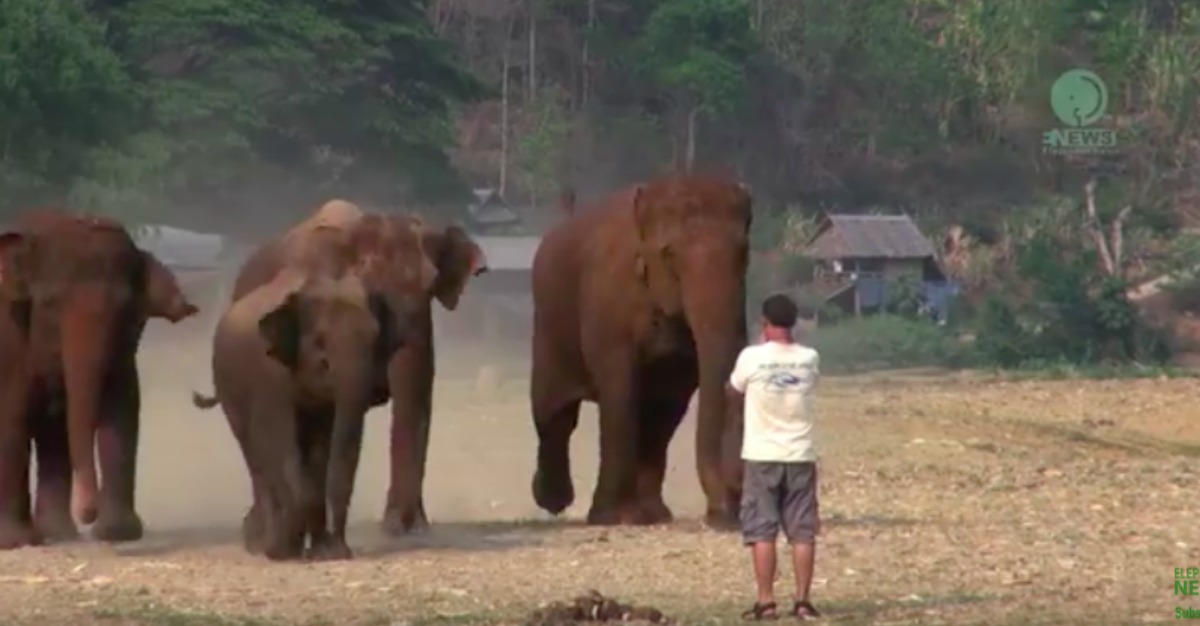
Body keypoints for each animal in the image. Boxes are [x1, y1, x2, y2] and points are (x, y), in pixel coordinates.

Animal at [0, 209, 199, 546]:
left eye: (125, 308)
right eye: (51, 303)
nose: (87, 514)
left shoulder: (121, 355)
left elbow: (122, 411)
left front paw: (117, 533)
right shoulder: (10, 339)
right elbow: (11, 416)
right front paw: (15, 542)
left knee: (55, 432)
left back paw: (60, 534)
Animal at [532, 173, 748, 525]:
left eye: (744, 254)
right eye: (669, 255)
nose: (723, 515)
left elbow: (668, 403)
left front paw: (653, 515)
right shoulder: (607, 307)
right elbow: (620, 390)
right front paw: (609, 517)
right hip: (548, 326)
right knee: (553, 412)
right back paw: (553, 500)